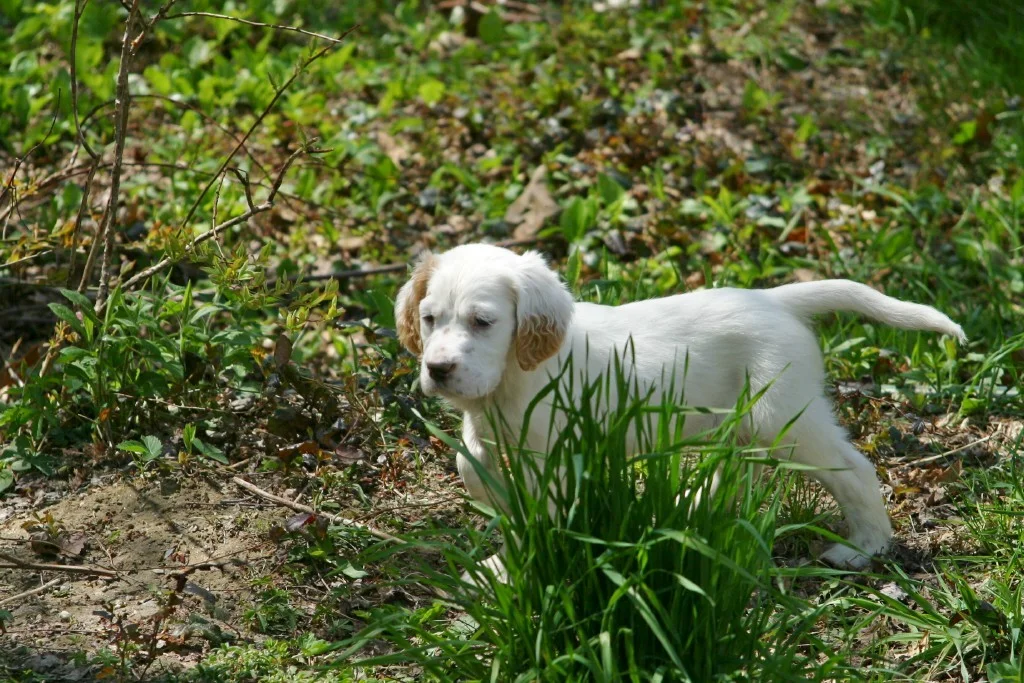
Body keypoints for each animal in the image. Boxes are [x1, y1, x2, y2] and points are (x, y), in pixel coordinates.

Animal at [394, 243, 965, 569]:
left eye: (483, 322)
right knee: (739, 469)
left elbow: (545, 514)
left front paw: (514, 564)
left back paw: (865, 547)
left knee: (854, 471)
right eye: (429, 318)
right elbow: (469, 461)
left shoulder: (559, 453)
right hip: (747, 420)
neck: (512, 378)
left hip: (784, 418)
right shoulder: (485, 427)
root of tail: (772, 299)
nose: (437, 369)